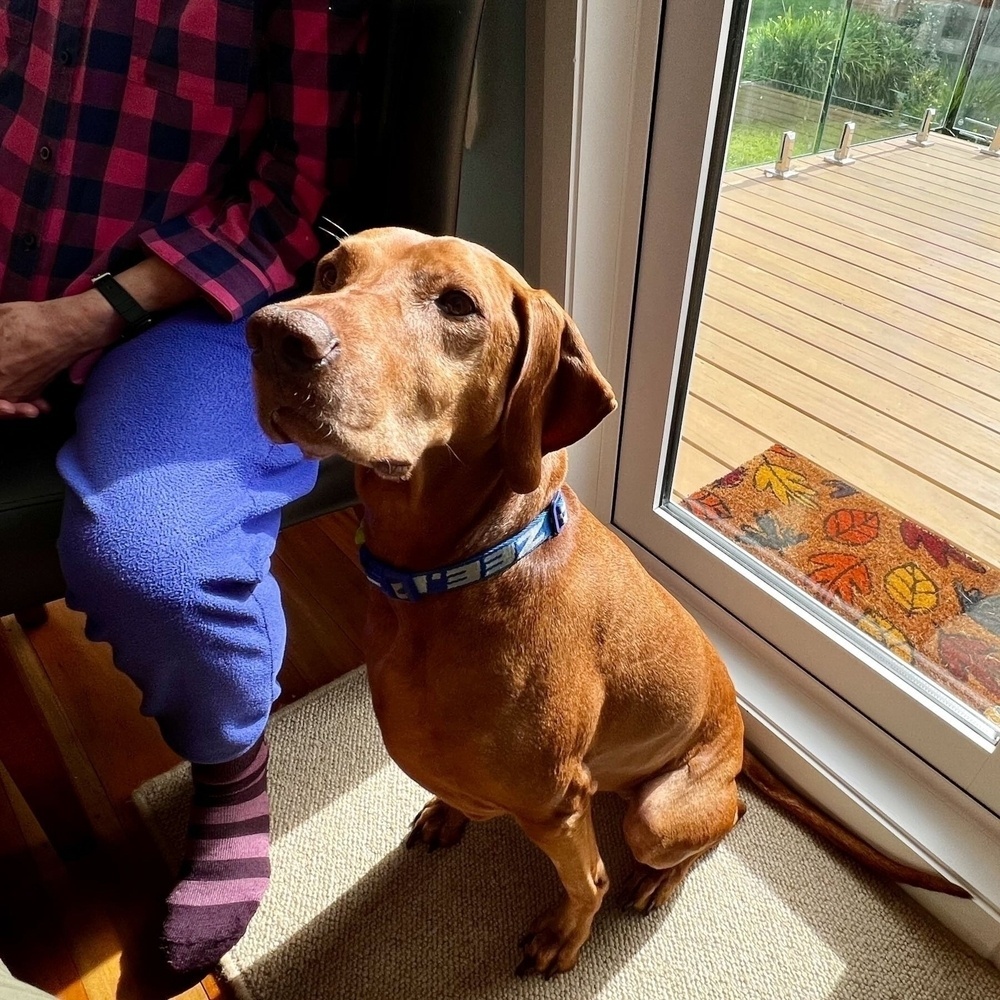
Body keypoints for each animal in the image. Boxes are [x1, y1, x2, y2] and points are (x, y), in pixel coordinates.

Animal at [248, 227, 968, 976]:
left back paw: (654, 880)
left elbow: (584, 880)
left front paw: (566, 935)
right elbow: (454, 787)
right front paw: (450, 813)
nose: (272, 334)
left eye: (457, 303)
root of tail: (740, 731)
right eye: (329, 272)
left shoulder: (558, 805)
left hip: (656, 815)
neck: (451, 576)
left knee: (722, 820)